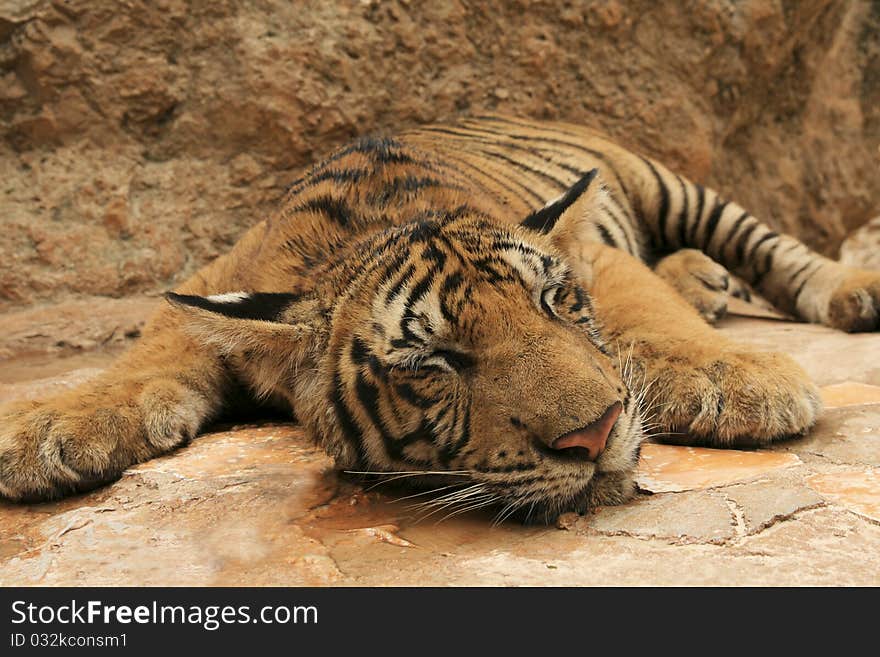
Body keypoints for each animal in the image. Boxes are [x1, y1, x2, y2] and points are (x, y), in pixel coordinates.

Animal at [1, 114, 880, 524]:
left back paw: (849, 289)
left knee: (776, 251)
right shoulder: (211, 281)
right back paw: (704, 279)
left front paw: (740, 375)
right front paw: (45, 425)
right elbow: (142, 359)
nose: (596, 436)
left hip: (666, 183)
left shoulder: (598, 259)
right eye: (435, 363)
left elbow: (648, 314)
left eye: (555, 303)